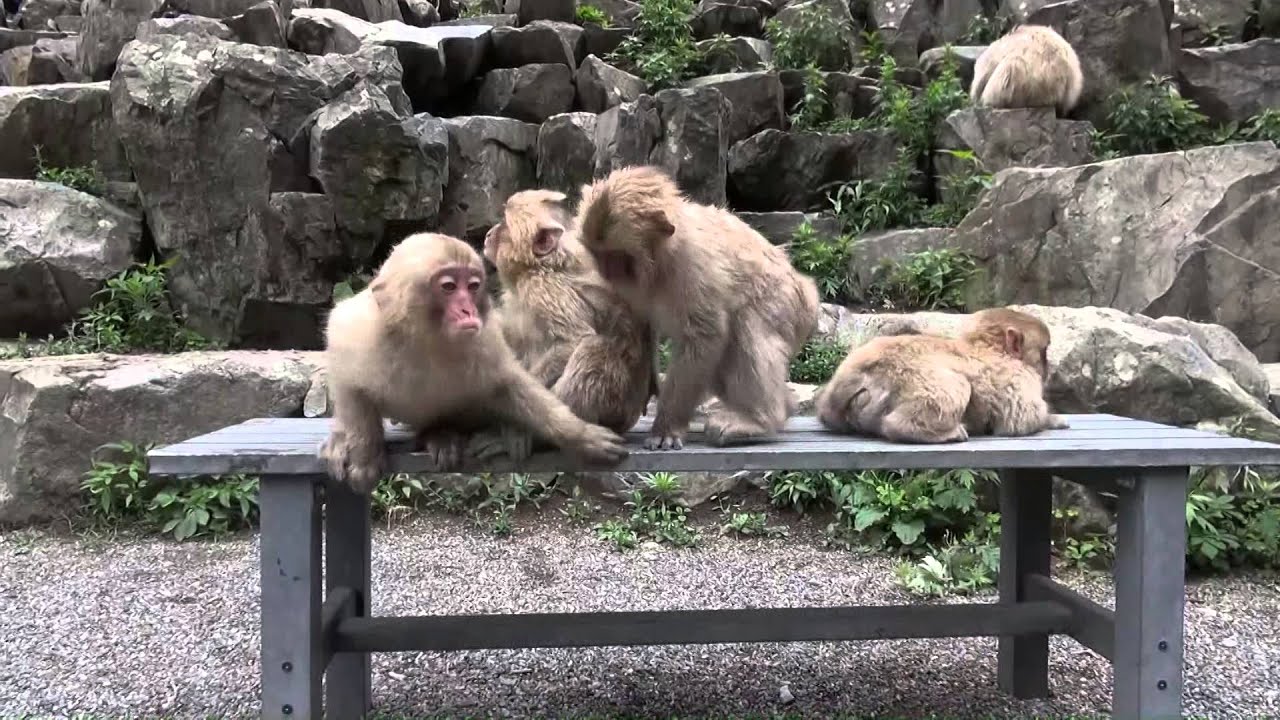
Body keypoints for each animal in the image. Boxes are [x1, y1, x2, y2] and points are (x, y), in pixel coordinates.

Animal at [317, 231, 630, 493]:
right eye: (449, 286)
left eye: (472, 286)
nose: (468, 309)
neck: (427, 341)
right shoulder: (360, 331)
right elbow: (348, 380)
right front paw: (364, 453)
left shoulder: (485, 338)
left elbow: (509, 385)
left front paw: (580, 435)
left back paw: (444, 433)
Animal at [483, 189, 657, 435]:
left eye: (504, 224)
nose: (488, 233)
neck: (544, 264)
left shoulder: (544, 289)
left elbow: (571, 341)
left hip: (615, 406)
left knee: (594, 348)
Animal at [575, 165, 821, 451]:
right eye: (598, 254)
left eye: (617, 256)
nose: (605, 271)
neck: (660, 263)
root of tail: (809, 292)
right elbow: (641, 322)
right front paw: (649, 385)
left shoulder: (693, 263)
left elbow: (705, 334)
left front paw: (667, 427)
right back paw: (786, 406)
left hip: (787, 302)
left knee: (750, 326)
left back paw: (761, 420)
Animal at [814, 306, 1070, 443]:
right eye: (1044, 352)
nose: (1047, 368)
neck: (989, 347)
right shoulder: (1018, 376)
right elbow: (1022, 420)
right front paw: (1052, 419)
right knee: (955, 385)